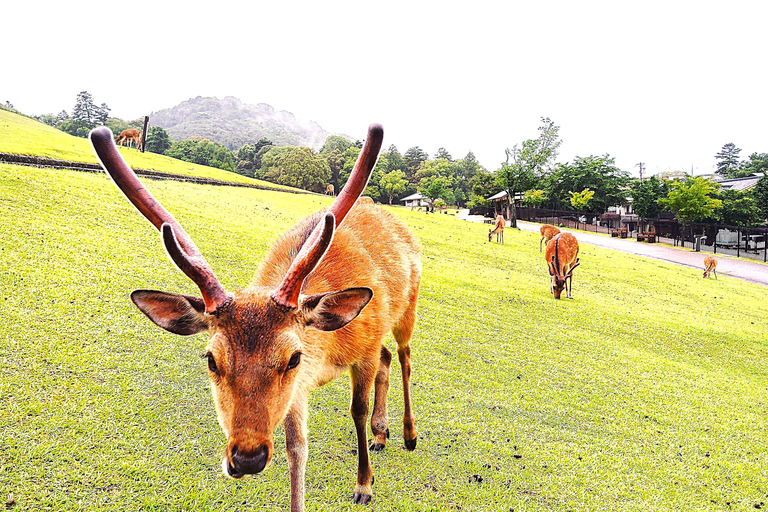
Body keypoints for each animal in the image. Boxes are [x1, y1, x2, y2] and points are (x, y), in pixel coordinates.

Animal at [89, 123, 422, 511]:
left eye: (293, 357)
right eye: (211, 359)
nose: (247, 458)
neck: (327, 352)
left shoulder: (361, 348)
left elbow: (357, 409)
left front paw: (364, 485)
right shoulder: (297, 390)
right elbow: (297, 449)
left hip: (407, 308)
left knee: (403, 356)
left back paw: (408, 434)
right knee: (388, 357)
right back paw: (381, 435)